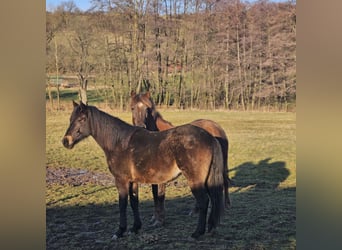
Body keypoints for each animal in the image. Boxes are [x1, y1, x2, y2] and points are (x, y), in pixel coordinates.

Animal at [62, 100, 224, 239]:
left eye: (82, 119)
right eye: (71, 119)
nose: (66, 141)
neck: (119, 142)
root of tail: (210, 137)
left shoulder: (121, 181)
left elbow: (122, 204)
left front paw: (120, 231)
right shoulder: (133, 181)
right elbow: (134, 202)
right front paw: (135, 228)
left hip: (195, 180)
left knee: (203, 201)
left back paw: (197, 233)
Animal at [131, 91, 232, 227]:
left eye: (147, 109)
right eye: (132, 108)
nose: (141, 127)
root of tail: (216, 126)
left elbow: (160, 195)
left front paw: (159, 220)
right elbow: (155, 195)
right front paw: (155, 217)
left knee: (224, 180)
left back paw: (226, 205)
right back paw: (195, 211)